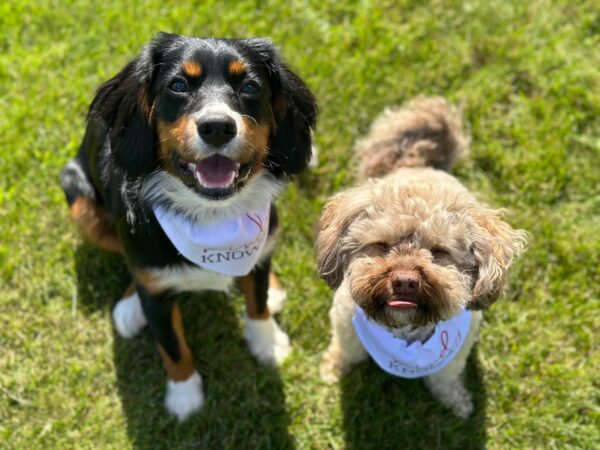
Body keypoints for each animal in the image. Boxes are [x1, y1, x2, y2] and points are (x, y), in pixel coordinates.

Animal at [59, 32, 316, 422]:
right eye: (178, 85)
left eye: (250, 86)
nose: (217, 127)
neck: (213, 217)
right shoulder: (156, 293)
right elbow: (173, 346)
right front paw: (184, 395)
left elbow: (256, 302)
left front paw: (267, 342)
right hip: (81, 203)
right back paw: (130, 306)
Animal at [316, 97, 524, 418]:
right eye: (381, 245)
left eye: (439, 251)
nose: (404, 281)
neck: (404, 332)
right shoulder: (344, 321)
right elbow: (345, 349)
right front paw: (333, 369)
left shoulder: (457, 351)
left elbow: (445, 376)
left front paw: (456, 401)